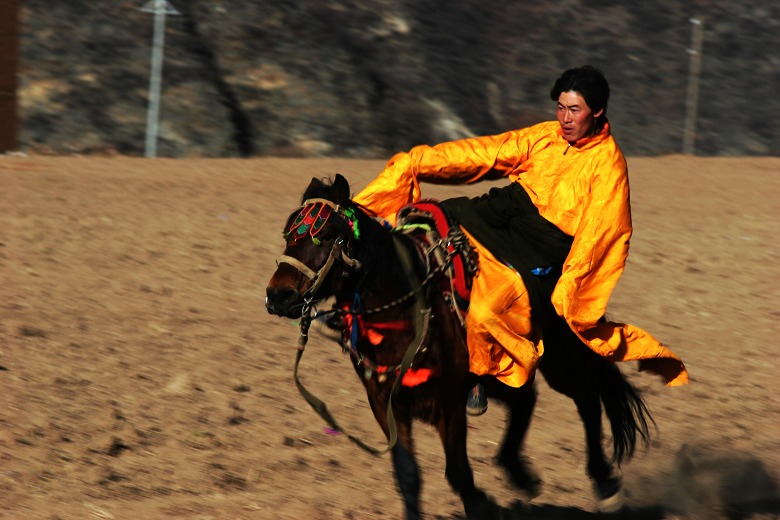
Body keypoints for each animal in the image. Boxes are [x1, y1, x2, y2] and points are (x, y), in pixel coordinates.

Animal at [266, 175, 656, 520]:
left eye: (327, 234)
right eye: (288, 233)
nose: (278, 295)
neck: (406, 312)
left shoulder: (449, 401)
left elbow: (458, 471)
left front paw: (482, 506)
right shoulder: (385, 402)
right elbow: (408, 476)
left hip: (559, 359)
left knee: (586, 400)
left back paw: (606, 488)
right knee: (526, 400)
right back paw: (520, 474)